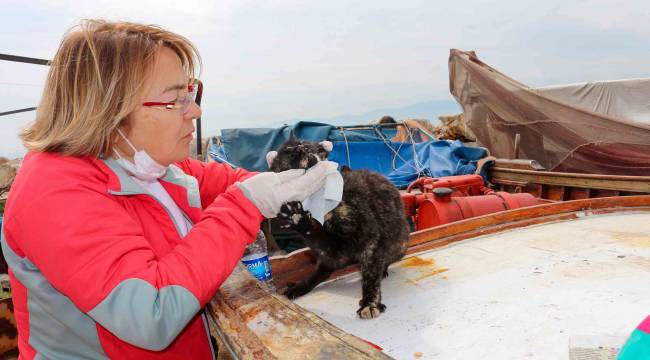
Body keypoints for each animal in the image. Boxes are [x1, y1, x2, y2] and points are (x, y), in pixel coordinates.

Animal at [266, 137, 408, 318]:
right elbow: (313, 233)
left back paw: (382, 270)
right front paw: (296, 217)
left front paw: (370, 303)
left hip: (400, 244)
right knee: (322, 270)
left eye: (309, 148)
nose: (301, 149)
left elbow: (370, 275)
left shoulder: (369, 239)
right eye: (289, 152)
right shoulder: (333, 252)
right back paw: (299, 287)